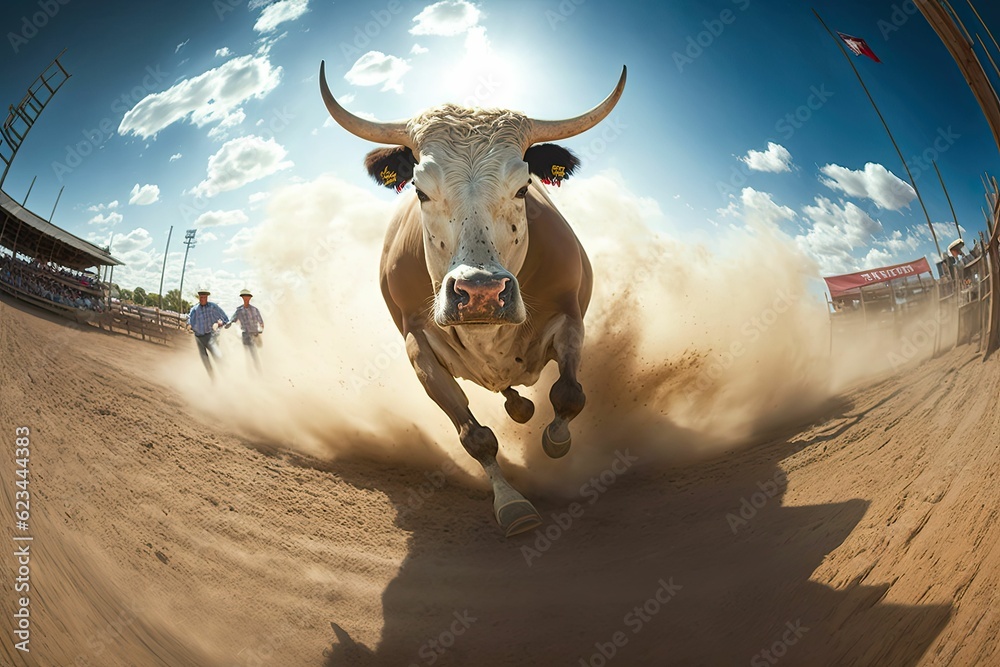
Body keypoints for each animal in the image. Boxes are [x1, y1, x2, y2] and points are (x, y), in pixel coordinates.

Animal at [319, 61, 626, 536]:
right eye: (420, 190)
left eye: (522, 188)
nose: (481, 293)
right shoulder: (419, 348)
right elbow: (475, 437)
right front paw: (512, 503)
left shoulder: (570, 316)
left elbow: (569, 394)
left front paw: (556, 440)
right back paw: (518, 406)